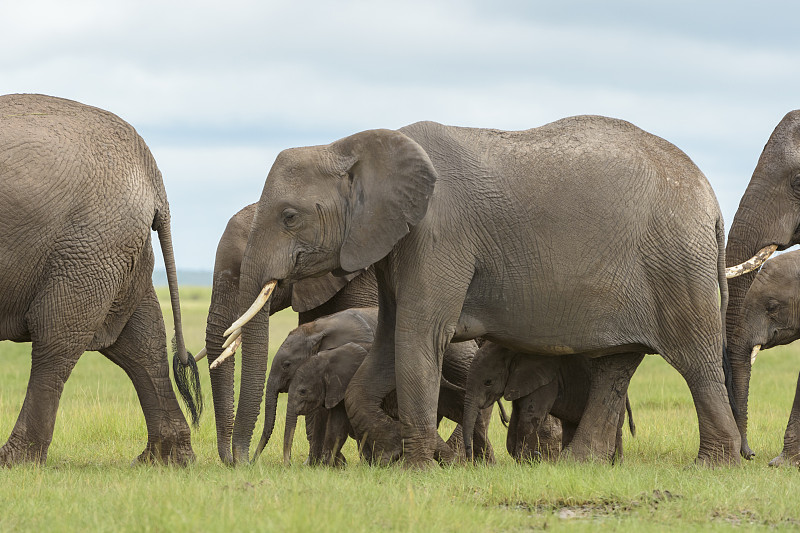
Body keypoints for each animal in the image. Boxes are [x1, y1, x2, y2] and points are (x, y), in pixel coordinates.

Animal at [0, 93, 202, 464]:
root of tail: (153, 176)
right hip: (114, 248)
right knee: (141, 341)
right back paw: (165, 460)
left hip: (89, 247)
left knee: (56, 338)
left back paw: (14, 461)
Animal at [456, 342, 636, 464]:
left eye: (488, 382)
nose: (469, 458)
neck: (514, 352)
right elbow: (516, 418)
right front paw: (526, 459)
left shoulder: (547, 380)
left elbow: (529, 419)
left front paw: (527, 462)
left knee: (617, 429)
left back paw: (616, 465)